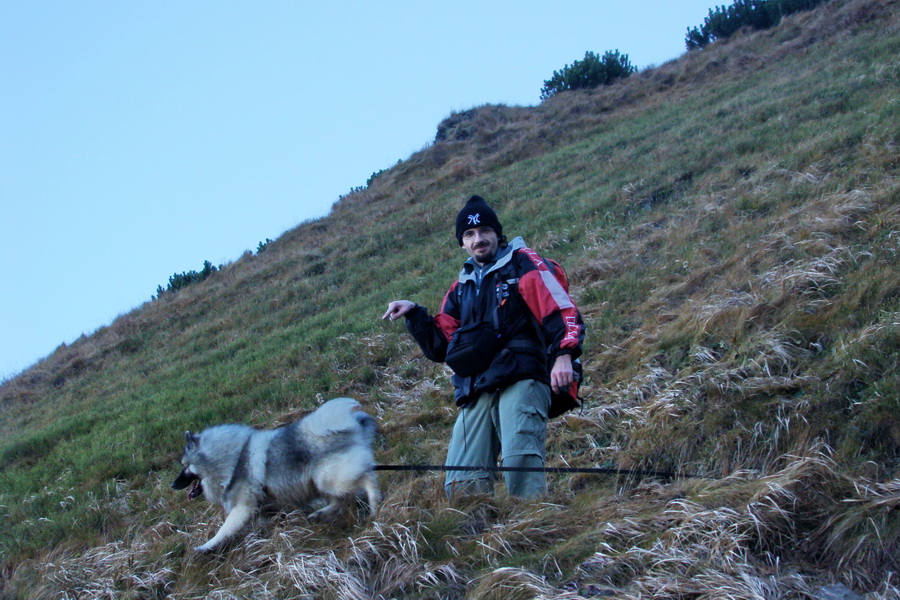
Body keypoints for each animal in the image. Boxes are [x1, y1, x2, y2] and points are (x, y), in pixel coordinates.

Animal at [171, 396, 380, 552]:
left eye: (185, 467)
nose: (173, 485)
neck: (235, 459)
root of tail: (352, 426)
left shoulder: (242, 507)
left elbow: (224, 530)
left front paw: (205, 547)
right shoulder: (259, 506)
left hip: (329, 479)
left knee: (366, 479)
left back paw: (375, 504)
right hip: (321, 481)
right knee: (340, 499)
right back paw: (321, 514)